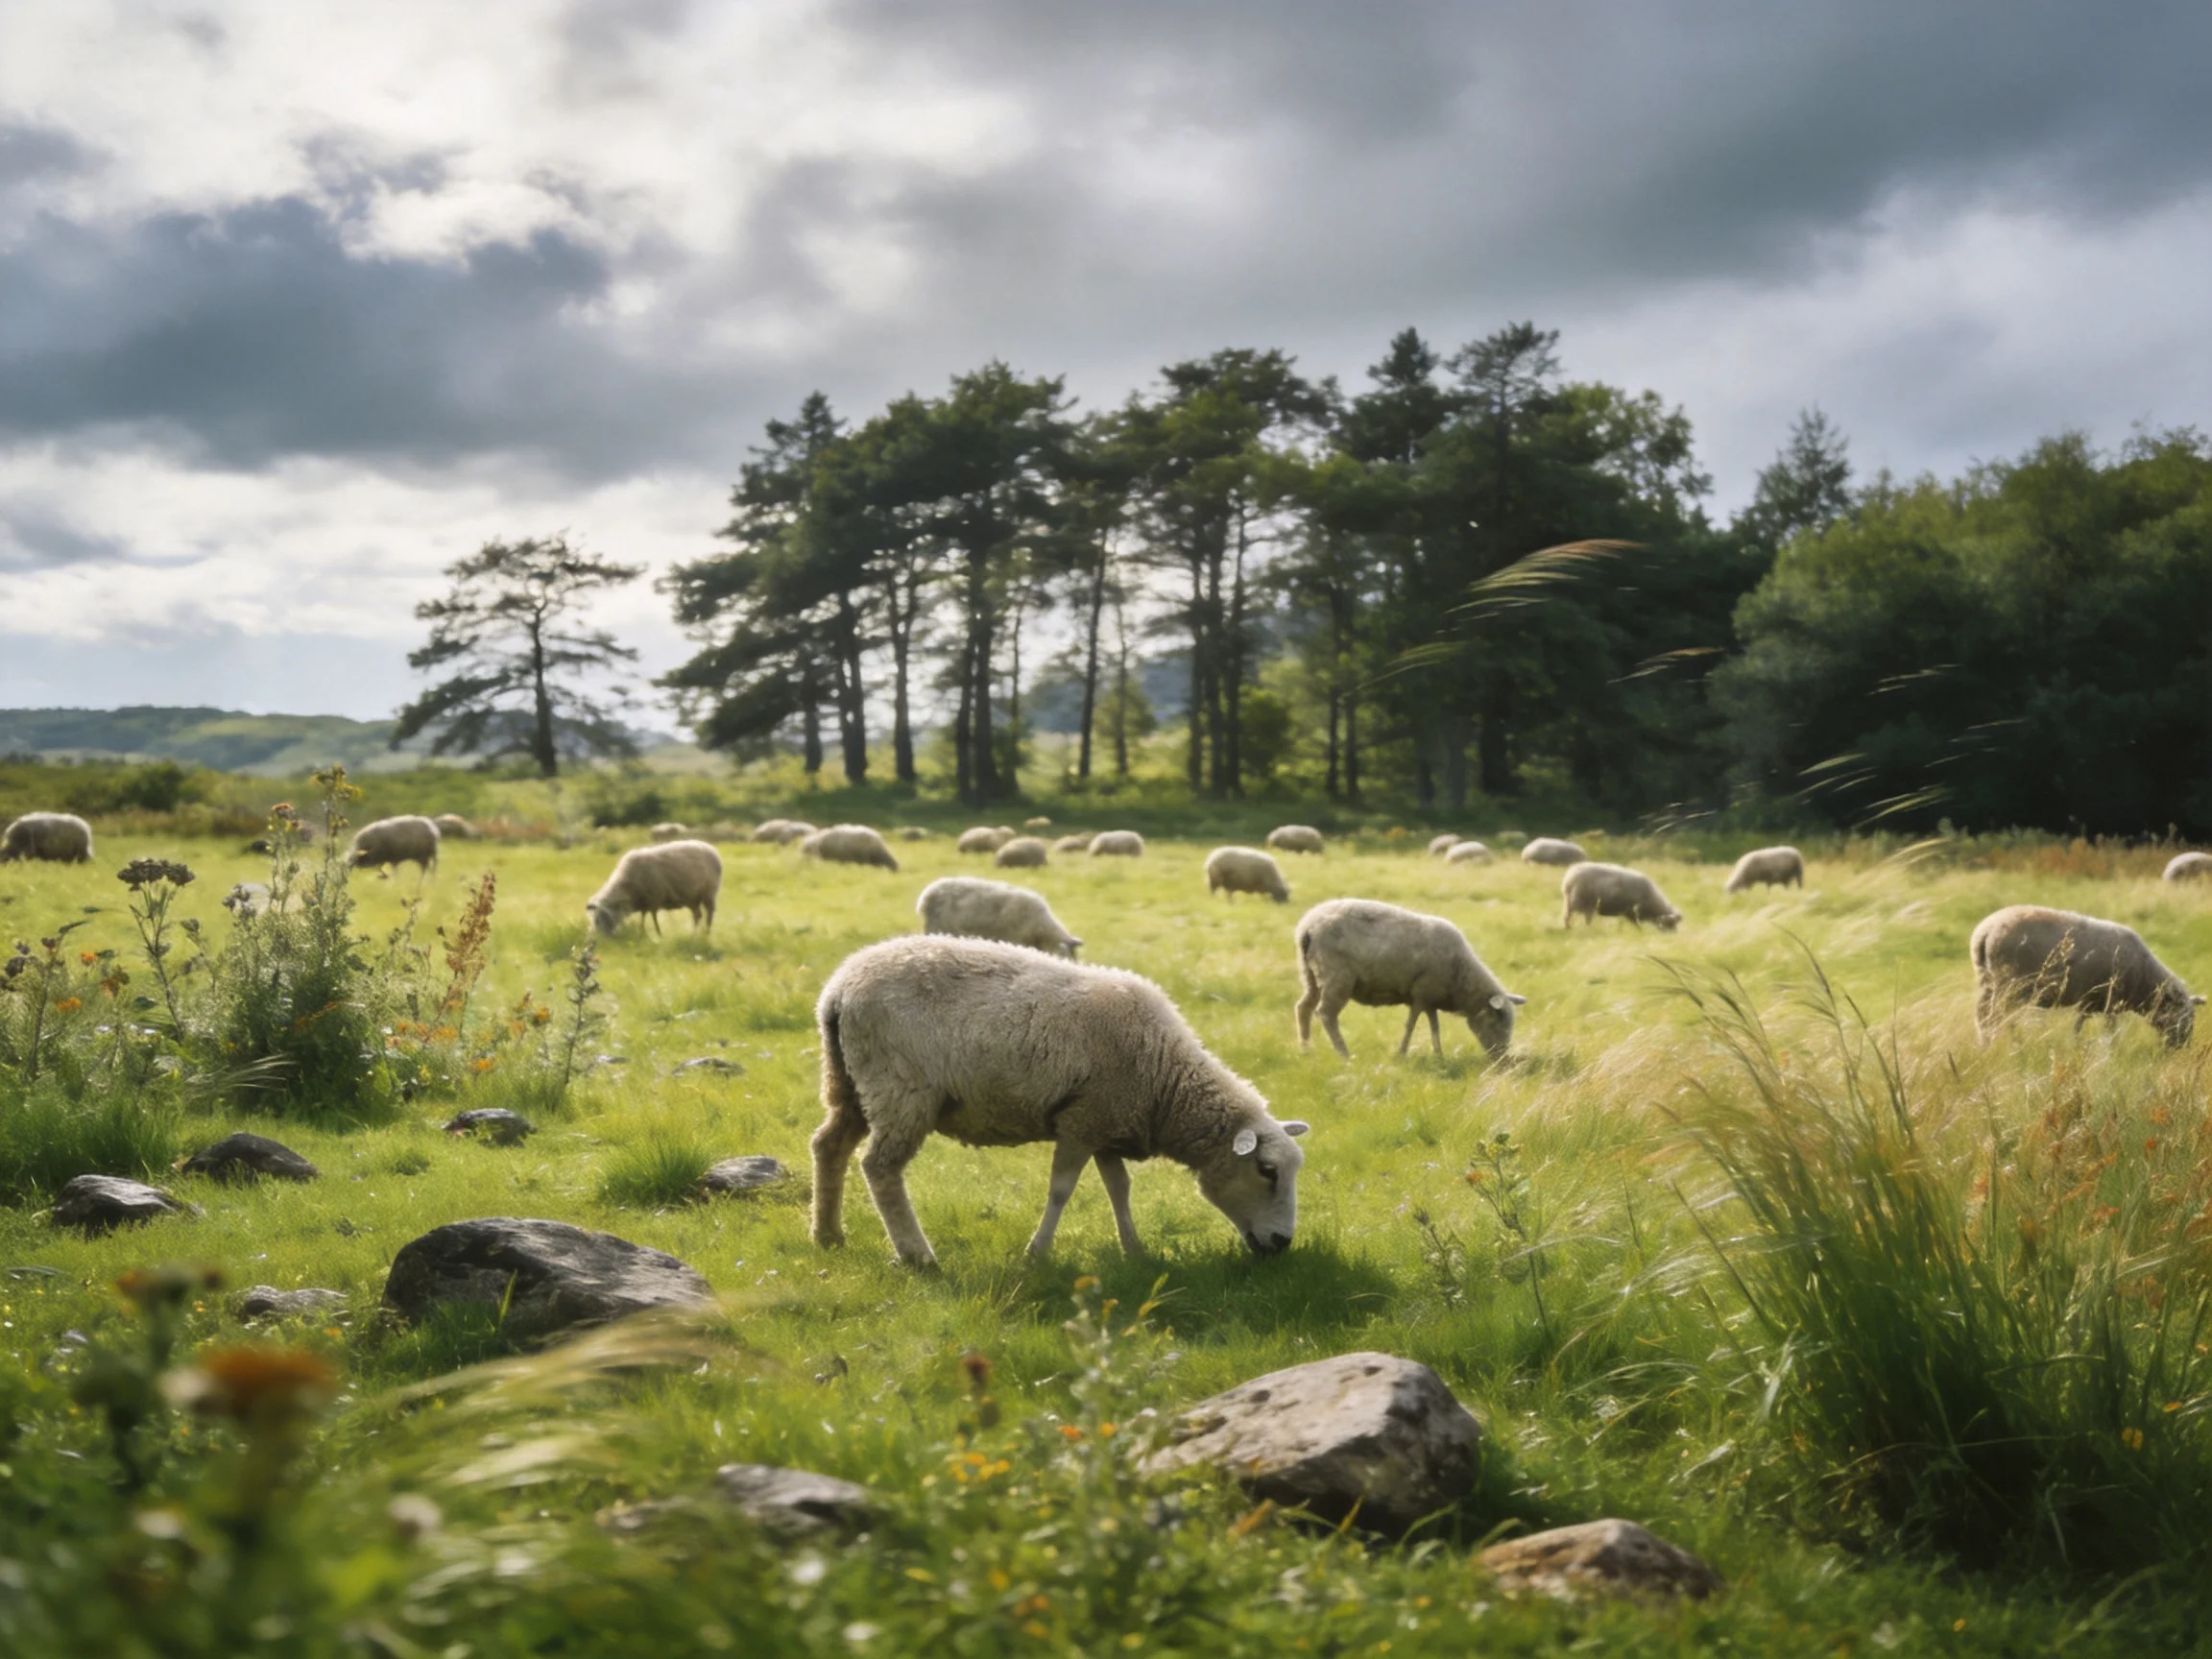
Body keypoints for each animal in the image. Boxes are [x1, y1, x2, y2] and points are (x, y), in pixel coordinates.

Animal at [585, 839, 723, 936]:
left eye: (602, 917)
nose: (599, 938)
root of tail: (712, 850)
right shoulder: (644, 902)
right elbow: (643, 917)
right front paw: (642, 932)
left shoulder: (653, 898)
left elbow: (653, 917)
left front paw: (658, 933)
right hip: (692, 898)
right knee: (697, 915)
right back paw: (693, 935)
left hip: (709, 894)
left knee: (709, 914)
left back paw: (706, 933)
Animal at [811, 935, 1310, 1267]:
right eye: (1267, 1171)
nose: (1283, 1243)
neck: (1163, 1081)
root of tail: (838, 990)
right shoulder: (1081, 1121)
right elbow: (1061, 1190)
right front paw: (1037, 1252)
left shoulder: (1109, 1121)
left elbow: (1119, 1188)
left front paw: (1134, 1250)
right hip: (901, 1087)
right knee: (880, 1168)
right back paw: (918, 1255)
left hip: (849, 1083)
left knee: (828, 1146)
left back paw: (828, 1235)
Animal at [1293, 898, 1525, 1059]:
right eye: (1497, 1022)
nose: (1502, 1059)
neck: (1460, 976)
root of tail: (1308, 927)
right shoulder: (1421, 993)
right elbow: (1411, 1025)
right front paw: (1402, 1053)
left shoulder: (1431, 997)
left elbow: (1434, 1026)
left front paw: (1438, 1054)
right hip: (1336, 977)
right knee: (1326, 1014)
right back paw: (1344, 1054)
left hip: (1310, 974)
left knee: (1303, 1008)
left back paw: (1305, 1050)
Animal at [1970, 906, 2202, 1049]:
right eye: (2185, 1016)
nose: (2181, 1048)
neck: (2145, 980)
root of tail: (1985, 931)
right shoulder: (2111, 1001)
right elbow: (2111, 1031)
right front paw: (2111, 1051)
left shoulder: (2089, 1001)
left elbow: (2078, 1027)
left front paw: (2075, 1047)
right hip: (2007, 985)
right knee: (1995, 1018)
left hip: (1987, 982)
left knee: (1982, 1017)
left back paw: (1986, 1045)